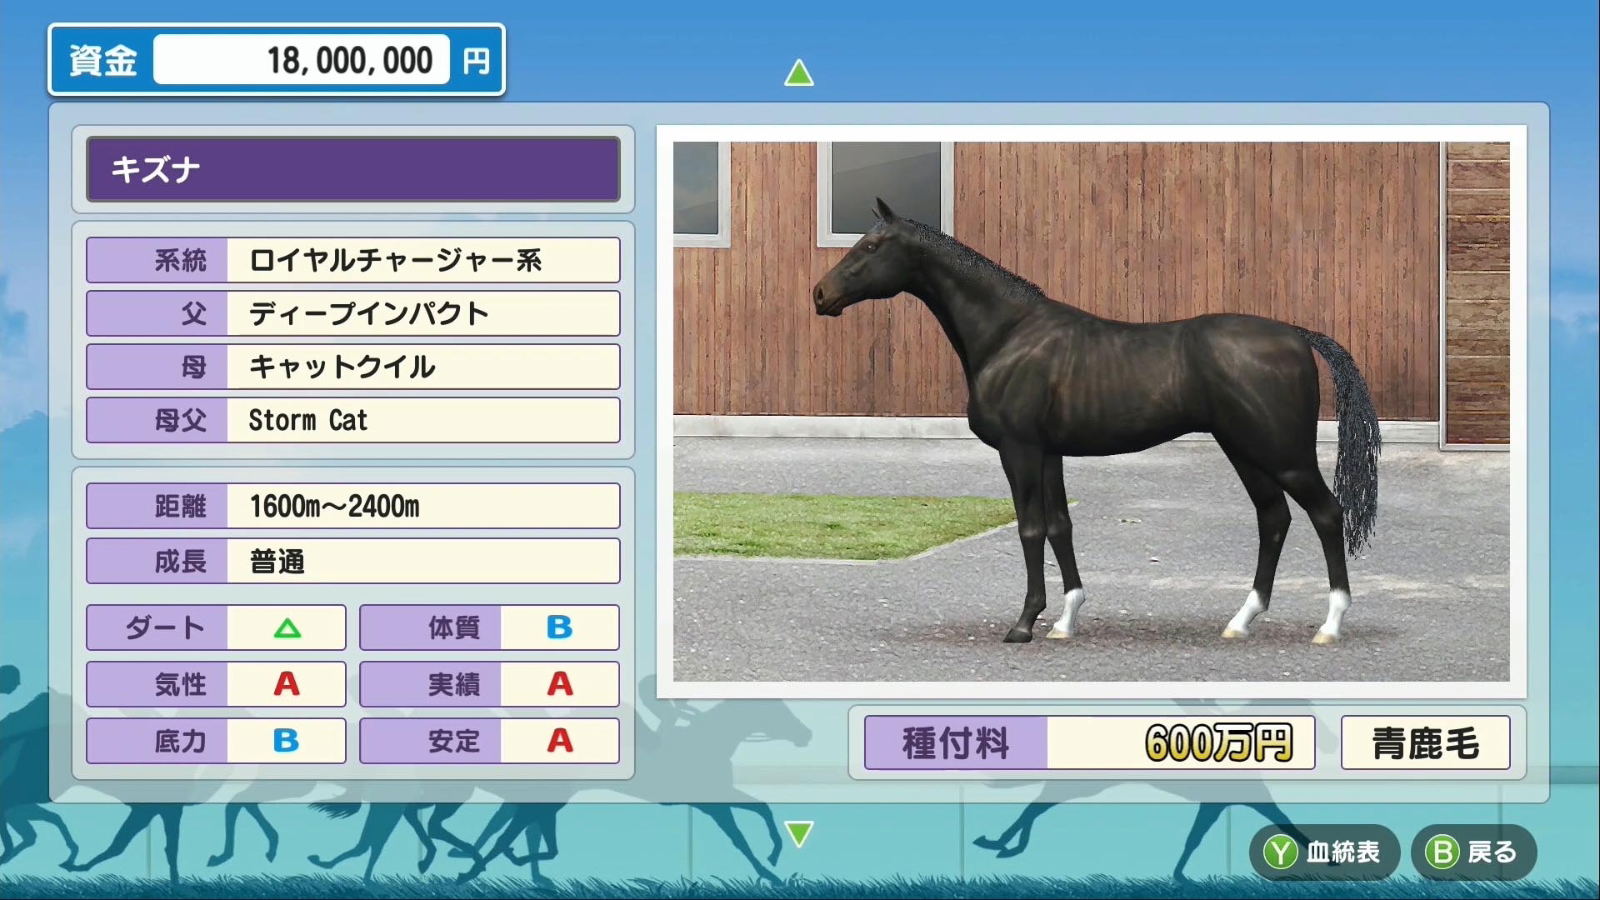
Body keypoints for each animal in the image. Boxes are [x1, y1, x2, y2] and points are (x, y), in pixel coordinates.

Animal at [811, 198, 1380, 645]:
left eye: (871, 246)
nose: (820, 295)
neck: (1010, 334)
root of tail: (1297, 335)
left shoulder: (1020, 451)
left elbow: (1031, 528)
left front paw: (1024, 624)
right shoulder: (1049, 453)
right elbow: (1060, 527)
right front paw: (1065, 620)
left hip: (1282, 454)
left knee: (1326, 513)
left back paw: (1329, 625)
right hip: (1244, 451)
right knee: (1273, 519)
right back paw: (1241, 621)